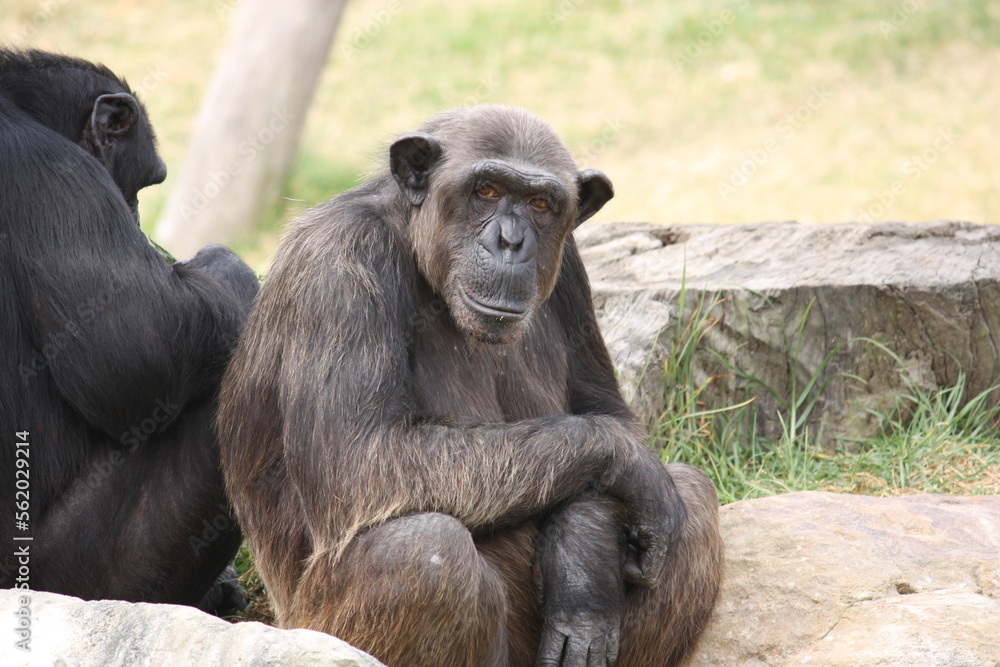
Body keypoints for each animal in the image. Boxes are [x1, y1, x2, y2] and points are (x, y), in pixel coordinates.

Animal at [0, 49, 258, 616]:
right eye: (143, 184)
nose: (137, 216)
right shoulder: (49, 170)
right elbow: (139, 349)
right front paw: (225, 264)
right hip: (79, 574)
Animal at [219, 107, 724, 664]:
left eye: (539, 203)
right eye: (486, 190)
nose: (511, 241)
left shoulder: (571, 266)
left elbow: (608, 411)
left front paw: (582, 554)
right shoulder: (339, 265)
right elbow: (360, 457)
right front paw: (629, 466)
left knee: (693, 499)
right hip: (316, 629)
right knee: (424, 552)